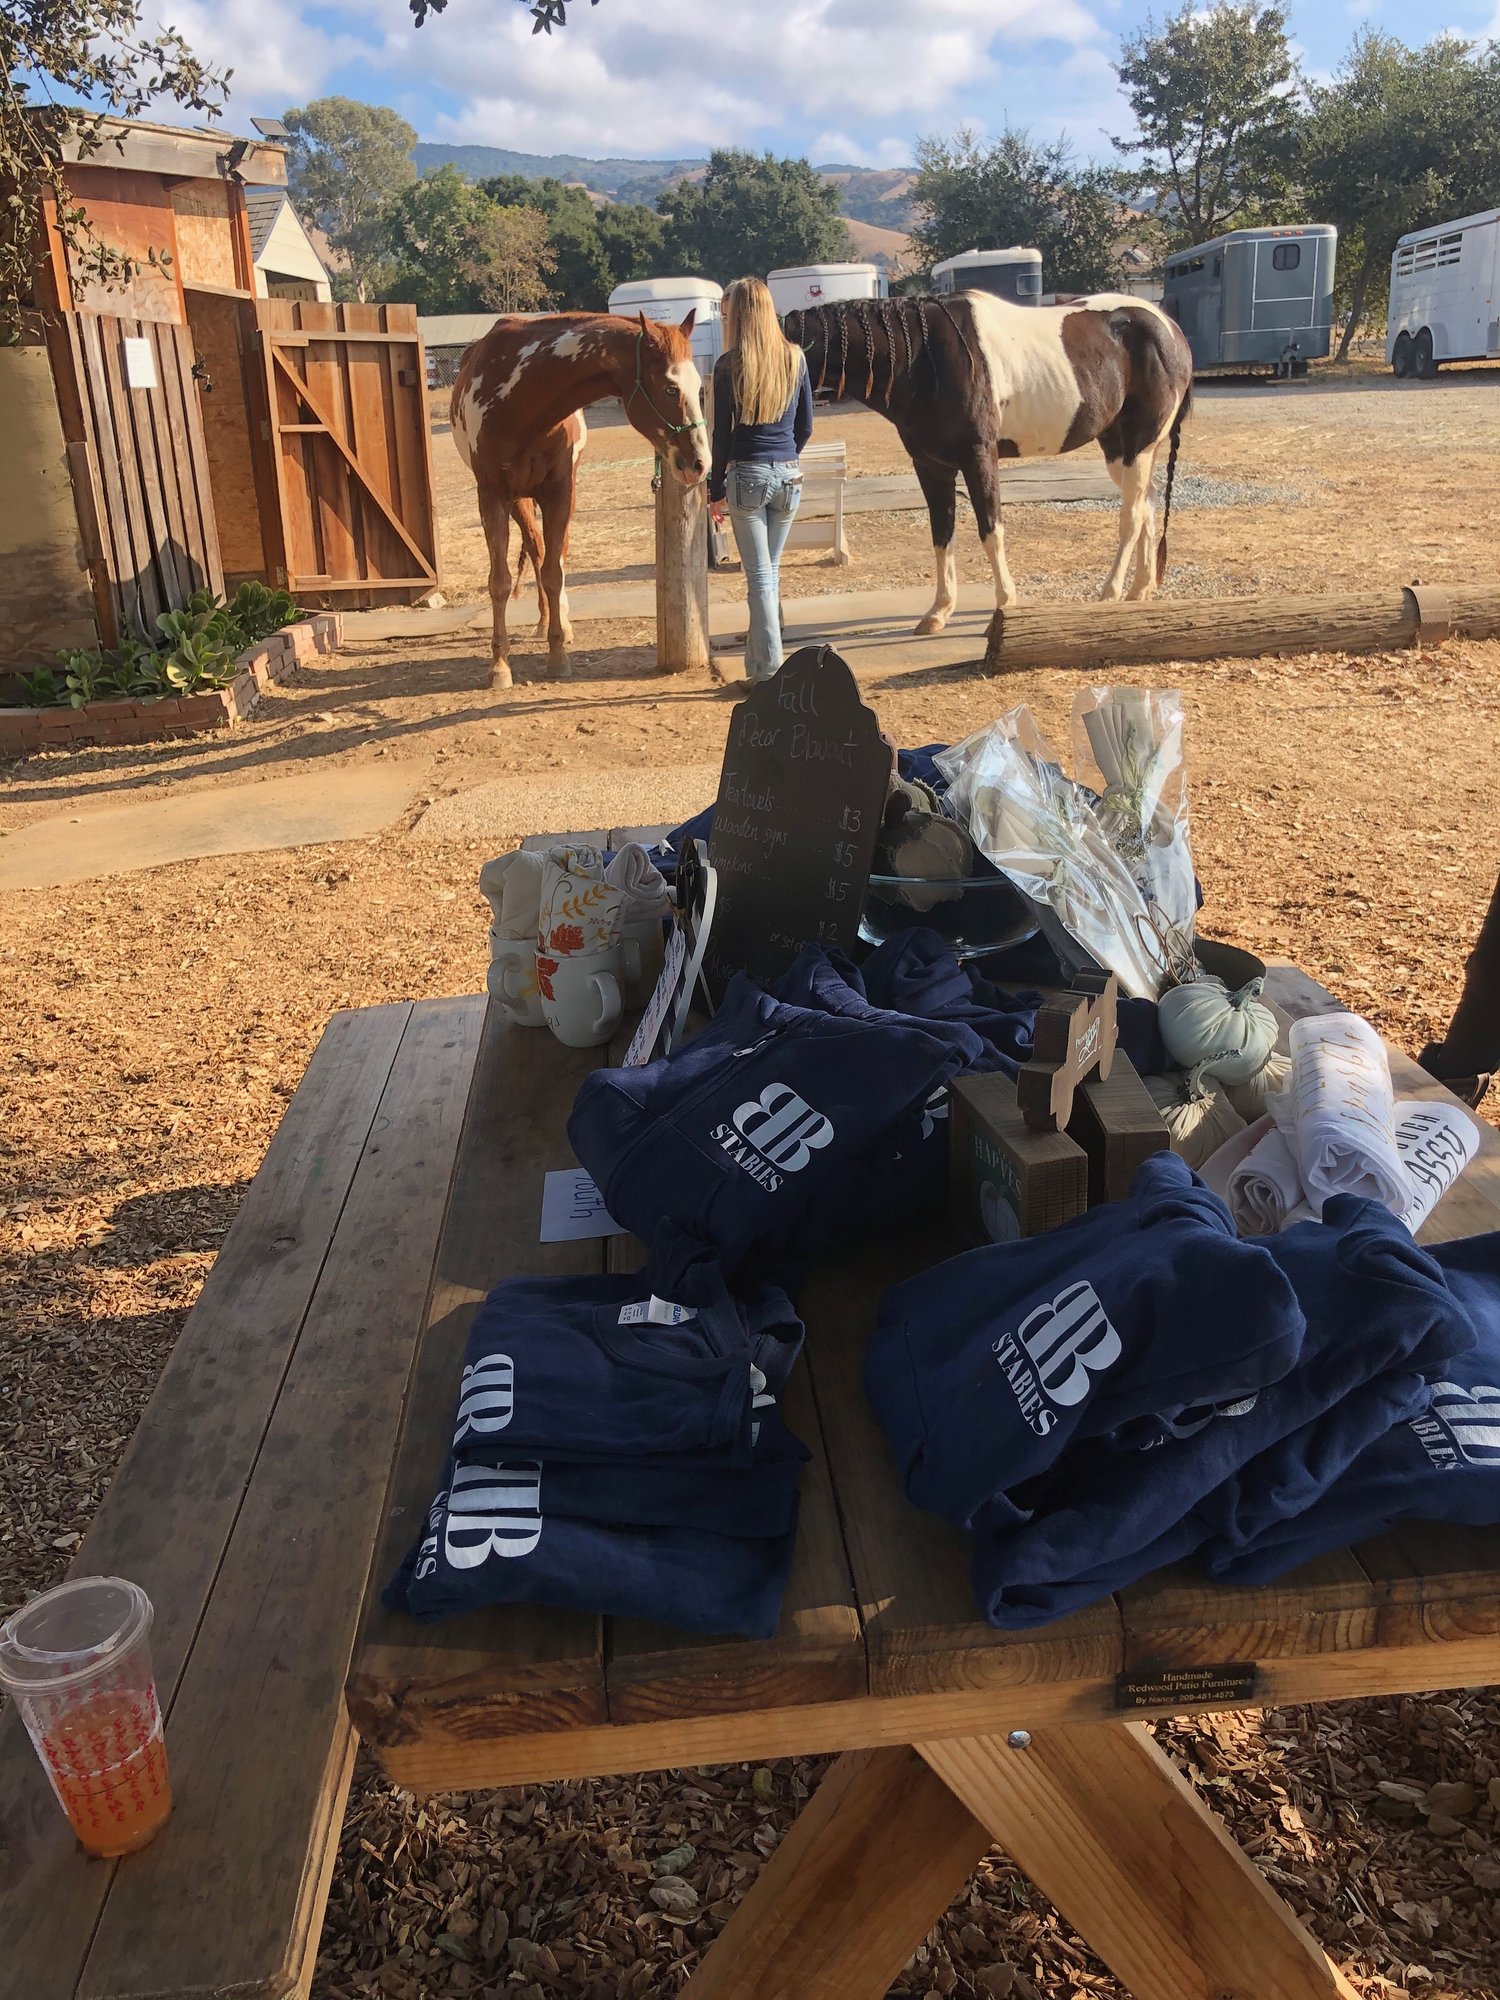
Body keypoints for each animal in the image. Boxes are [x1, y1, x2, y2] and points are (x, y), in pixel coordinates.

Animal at [452, 308, 712, 688]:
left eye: (698, 387)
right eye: (670, 387)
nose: (700, 464)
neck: (519, 401)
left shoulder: (560, 492)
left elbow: (554, 573)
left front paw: (558, 655)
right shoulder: (493, 495)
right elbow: (500, 582)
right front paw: (499, 666)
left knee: (553, 556)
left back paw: (560, 622)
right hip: (519, 500)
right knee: (535, 549)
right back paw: (544, 621)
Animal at [788, 290, 1200, 628]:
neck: (924, 358)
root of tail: (1171, 329)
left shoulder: (979, 458)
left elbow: (991, 530)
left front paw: (1005, 601)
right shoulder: (930, 466)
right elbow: (942, 535)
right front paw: (938, 612)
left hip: (1137, 445)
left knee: (1131, 516)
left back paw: (1110, 592)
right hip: (1118, 448)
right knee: (1146, 504)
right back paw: (1140, 590)